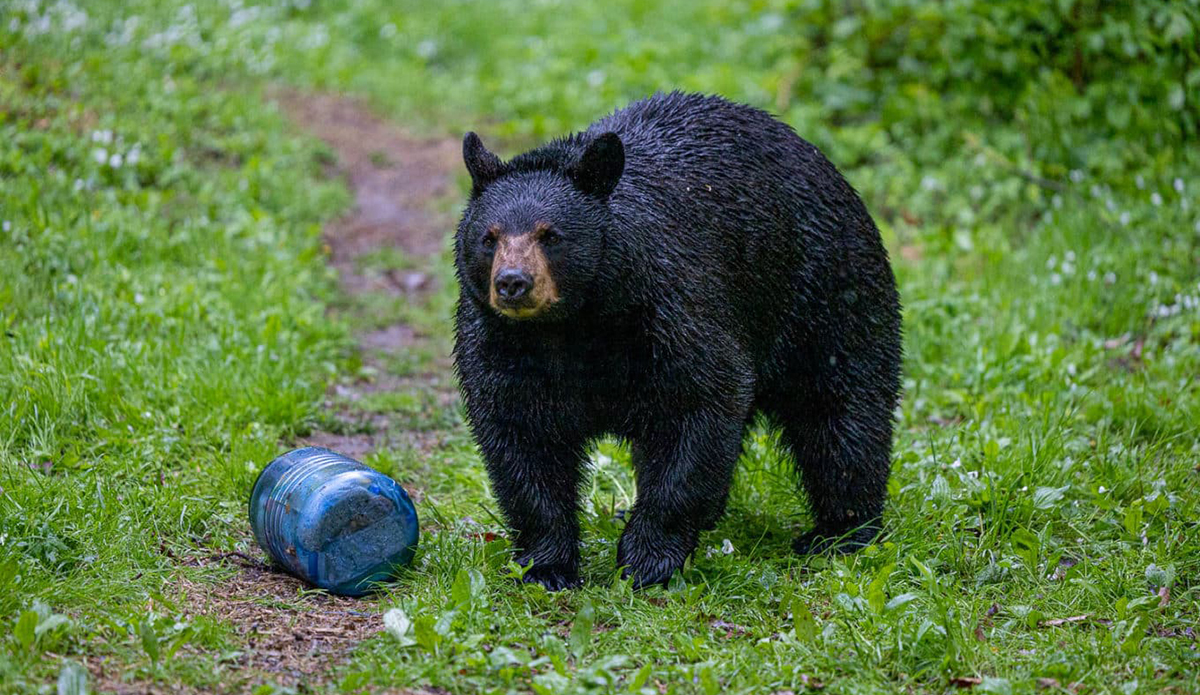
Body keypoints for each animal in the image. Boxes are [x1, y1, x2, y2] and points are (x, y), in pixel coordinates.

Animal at [452, 92, 902, 590]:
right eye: (489, 237)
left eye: (550, 235)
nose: (513, 283)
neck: (575, 325)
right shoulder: (501, 342)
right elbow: (520, 438)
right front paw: (546, 567)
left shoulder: (671, 310)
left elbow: (698, 408)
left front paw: (648, 560)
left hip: (827, 291)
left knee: (841, 414)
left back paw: (841, 532)